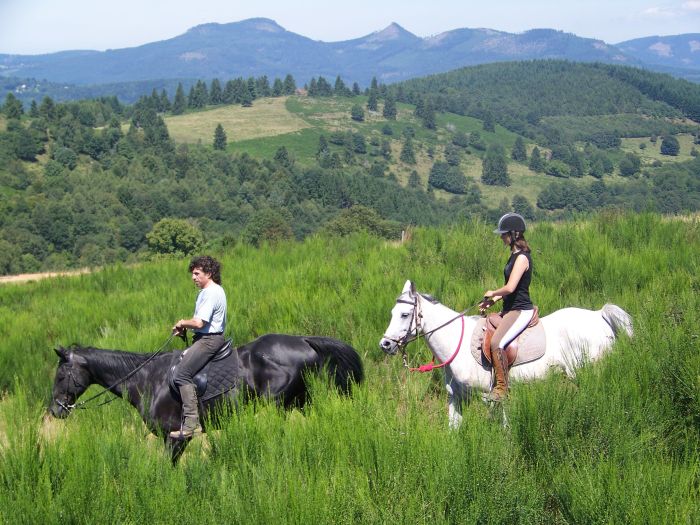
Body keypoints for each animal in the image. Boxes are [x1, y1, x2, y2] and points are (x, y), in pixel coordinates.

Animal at [48, 334, 364, 460]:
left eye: (61, 375)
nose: (55, 410)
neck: (147, 379)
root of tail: (303, 340)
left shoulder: (174, 436)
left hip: (281, 406)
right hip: (302, 402)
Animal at [380, 280, 632, 428]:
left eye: (404, 314)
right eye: (392, 312)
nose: (385, 344)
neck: (455, 344)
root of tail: (599, 315)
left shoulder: (489, 397)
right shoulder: (456, 398)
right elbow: (454, 429)